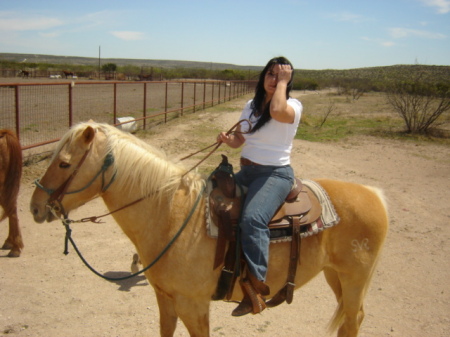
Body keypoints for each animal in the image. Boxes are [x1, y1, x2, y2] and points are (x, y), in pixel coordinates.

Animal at [30, 122, 390, 336]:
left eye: (63, 162)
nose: (35, 206)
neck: (170, 215)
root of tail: (375, 194)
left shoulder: (194, 306)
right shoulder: (165, 300)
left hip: (355, 280)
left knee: (354, 319)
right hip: (335, 276)